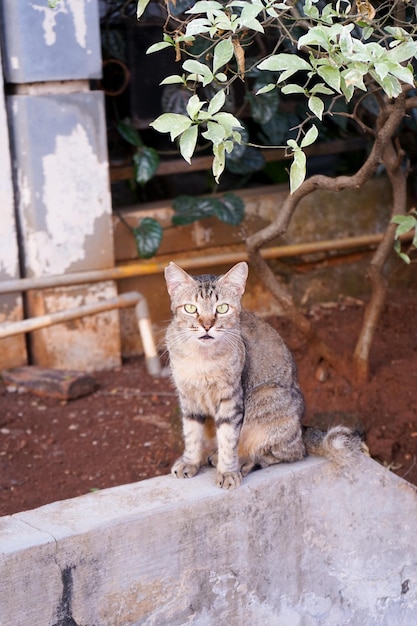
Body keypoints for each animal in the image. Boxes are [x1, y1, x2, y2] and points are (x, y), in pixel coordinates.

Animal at [164, 258, 360, 488]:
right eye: (190, 308)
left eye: (222, 308)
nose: (206, 325)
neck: (201, 358)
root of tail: (301, 428)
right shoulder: (188, 397)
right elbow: (192, 434)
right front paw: (190, 462)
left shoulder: (231, 399)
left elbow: (228, 439)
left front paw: (227, 471)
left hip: (266, 398)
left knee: (288, 453)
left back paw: (242, 461)